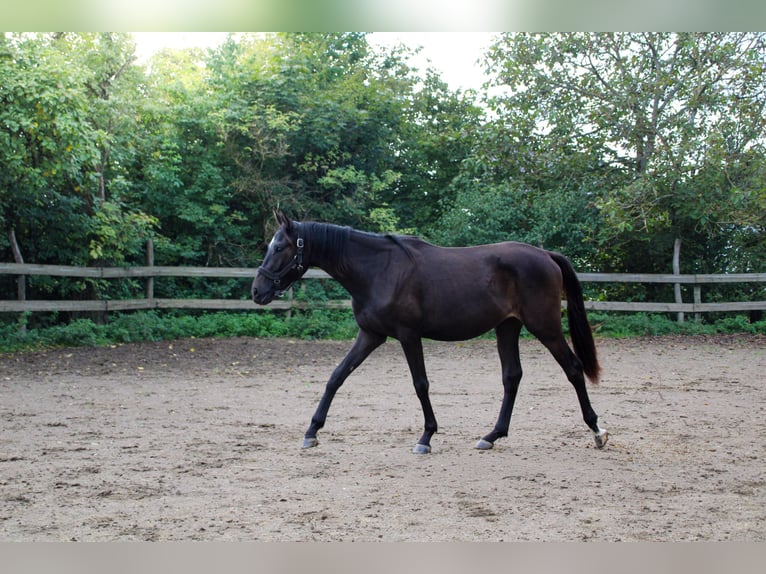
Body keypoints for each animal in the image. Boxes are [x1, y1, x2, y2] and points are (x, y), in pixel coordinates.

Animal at [252, 210, 608, 454]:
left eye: (280, 247)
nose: (257, 291)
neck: (378, 270)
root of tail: (546, 255)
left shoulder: (408, 335)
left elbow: (420, 384)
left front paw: (426, 436)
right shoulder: (370, 335)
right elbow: (336, 377)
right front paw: (312, 431)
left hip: (545, 327)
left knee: (573, 368)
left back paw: (597, 430)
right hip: (507, 327)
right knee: (512, 377)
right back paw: (491, 436)